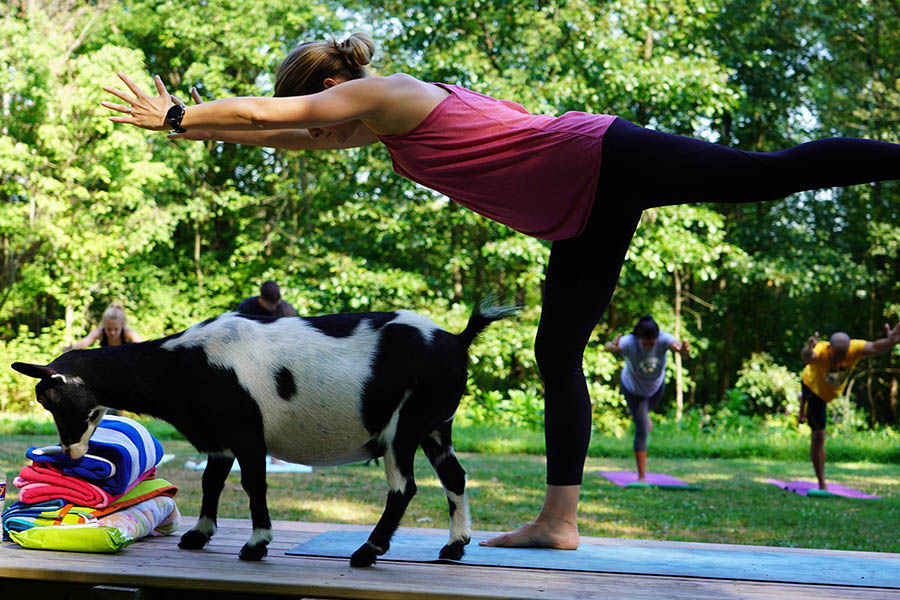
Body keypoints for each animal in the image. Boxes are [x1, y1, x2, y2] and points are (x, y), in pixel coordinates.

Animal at [12, 302, 520, 564]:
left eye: (52, 400)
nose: (71, 453)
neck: (187, 361)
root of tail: (457, 339)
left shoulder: (246, 433)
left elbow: (253, 484)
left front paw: (257, 544)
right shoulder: (218, 438)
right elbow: (213, 482)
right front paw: (199, 534)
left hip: (406, 423)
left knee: (404, 487)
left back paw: (368, 550)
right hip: (437, 424)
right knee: (455, 477)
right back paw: (454, 545)